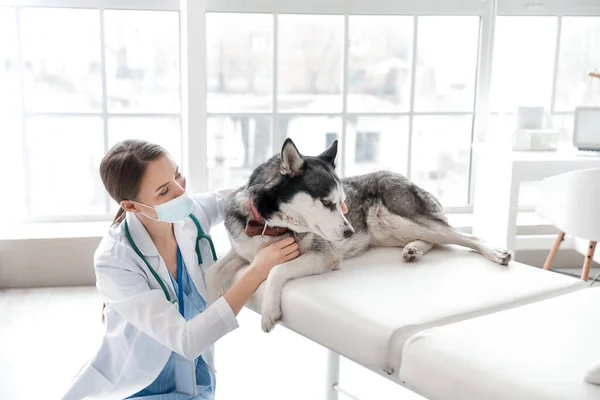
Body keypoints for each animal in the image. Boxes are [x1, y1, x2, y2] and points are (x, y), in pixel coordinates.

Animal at [209, 139, 512, 332]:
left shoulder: (325, 255)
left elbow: (276, 270)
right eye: (327, 203)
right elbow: (212, 271)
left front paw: (269, 311)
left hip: (404, 219)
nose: (348, 232)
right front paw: (211, 303)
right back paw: (414, 249)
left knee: (460, 236)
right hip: (392, 230)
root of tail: (404, 177)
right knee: (435, 240)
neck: (269, 225)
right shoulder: (242, 252)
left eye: (342, 203)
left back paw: (495, 252)